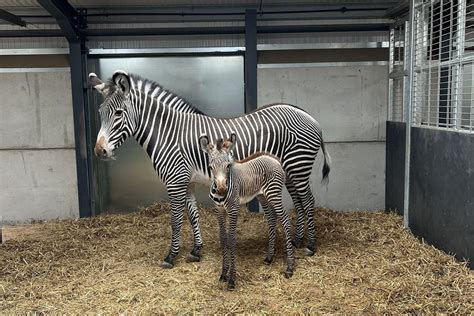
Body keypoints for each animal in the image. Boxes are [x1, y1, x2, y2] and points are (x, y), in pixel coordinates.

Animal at [90, 70, 332, 268]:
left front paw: (171, 256)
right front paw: (196, 250)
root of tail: (311, 117)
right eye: (100, 112)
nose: (99, 151)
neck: (168, 133)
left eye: (118, 113)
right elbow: (192, 215)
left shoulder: (175, 181)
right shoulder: (186, 181)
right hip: (289, 171)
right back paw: (297, 240)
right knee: (299, 202)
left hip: (298, 165)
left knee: (308, 201)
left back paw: (310, 245)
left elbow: (175, 219)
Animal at [199, 133, 294, 288]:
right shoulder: (219, 210)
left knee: (285, 220)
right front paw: (223, 273)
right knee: (271, 219)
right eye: (210, 167)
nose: (221, 190)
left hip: (274, 194)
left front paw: (232, 279)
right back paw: (269, 257)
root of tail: (274, 158)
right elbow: (223, 238)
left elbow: (231, 239)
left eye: (228, 166)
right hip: (262, 196)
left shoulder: (233, 209)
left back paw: (290, 267)